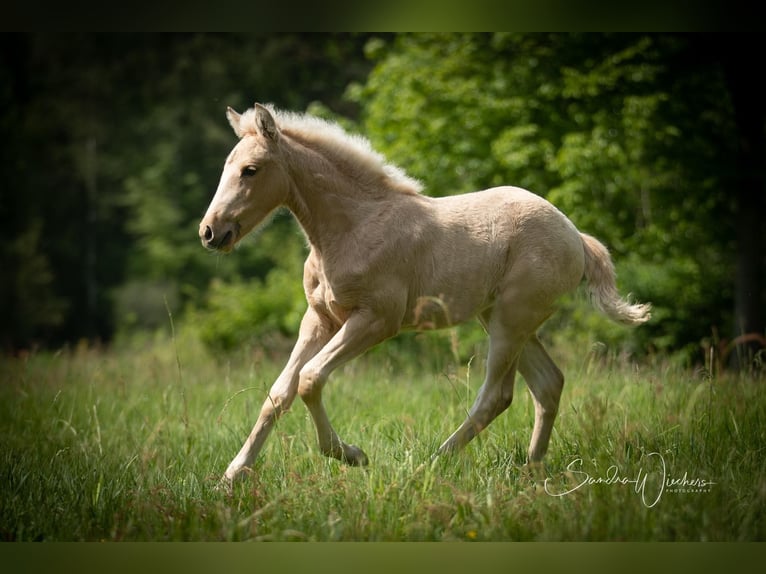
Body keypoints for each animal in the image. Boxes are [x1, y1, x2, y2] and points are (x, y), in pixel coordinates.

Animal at [201, 104, 652, 490]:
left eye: (251, 170)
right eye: (225, 167)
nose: (210, 232)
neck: (353, 226)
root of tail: (576, 236)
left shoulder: (377, 319)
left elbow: (311, 379)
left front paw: (353, 455)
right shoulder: (319, 320)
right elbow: (278, 394)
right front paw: (231, 476)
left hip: (511, 318)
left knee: (496, 395)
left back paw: (430, 466)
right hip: (503, 318)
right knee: (547, 384)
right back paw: (532, 471)